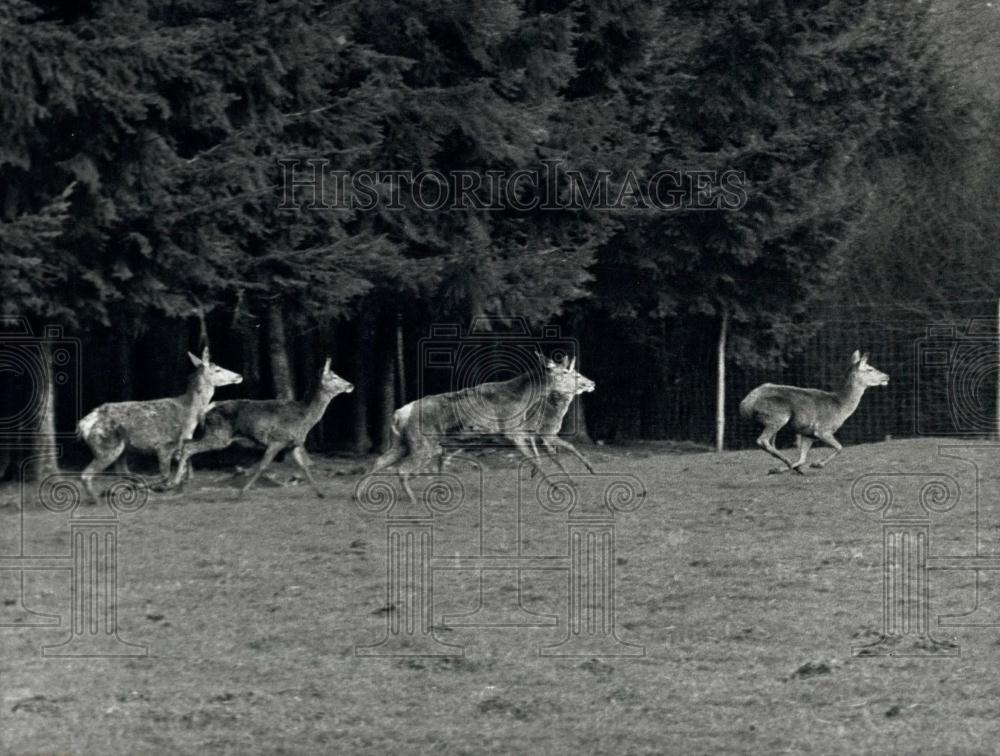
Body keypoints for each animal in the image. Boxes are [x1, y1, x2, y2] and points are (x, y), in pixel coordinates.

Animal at [77, 346, 243, 502]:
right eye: (217, 369)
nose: (239, 376)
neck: (189, 414)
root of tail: (83, 424)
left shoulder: (178, 446)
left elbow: (183, 468)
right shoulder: (164, 445)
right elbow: (165, 474)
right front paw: (160, 487)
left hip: (120, 450)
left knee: (122, 472)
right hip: (106, 446)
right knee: (86, 475)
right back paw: (99, 499)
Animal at [169, 358, 360, 500]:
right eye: (334, 377)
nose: (351, 385)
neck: (305, 417)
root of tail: (206, 410)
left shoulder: (292, 444)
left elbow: (304, 467)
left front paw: (321, 493)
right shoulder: (277, 440)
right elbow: (262, 466)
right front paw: (241, 492)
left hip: (214, 434)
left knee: (186, 441)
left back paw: (184, 480)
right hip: (219, 435)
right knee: (189, 446)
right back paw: (177, 481)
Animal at [372, 350, 596, 502]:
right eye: (568, 372)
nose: (592, 383)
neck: (522, 399)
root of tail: (399, 414)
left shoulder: (526, 433)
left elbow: (544, 457)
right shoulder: (513, 431)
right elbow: (538, 459)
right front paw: (558, 487)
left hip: (405, 443)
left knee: (381, 461)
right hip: (423, 444)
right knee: (402, 469)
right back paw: (413, 500)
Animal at [736, 348, 892, 472]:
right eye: (870, 368)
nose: (887, 376)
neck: (840, 407)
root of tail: (745, 404)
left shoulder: (808, 434)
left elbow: (802, 458)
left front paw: (787, 468)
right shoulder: (822, 429)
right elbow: (840, 447)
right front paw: (817, 464)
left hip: (773, 419)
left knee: (771, 444)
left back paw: (787, 467)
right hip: (777, 414)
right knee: (762, 440)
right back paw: (788, 463)